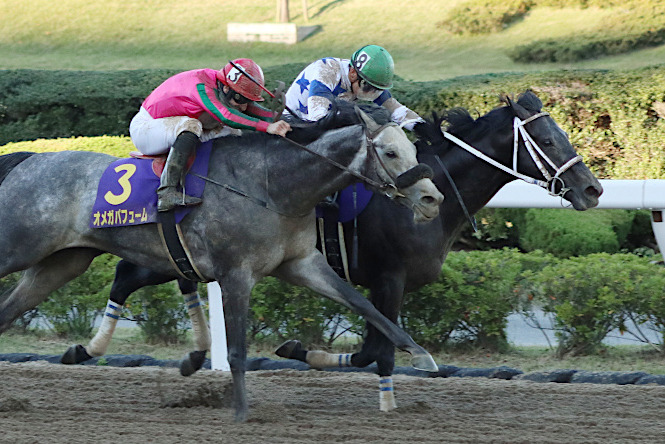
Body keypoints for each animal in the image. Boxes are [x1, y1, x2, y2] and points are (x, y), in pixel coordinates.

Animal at [1, 106, 446, 422]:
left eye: (414, 149)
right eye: (390, 151)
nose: (432, 199)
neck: (273, 185)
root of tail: (26, 160)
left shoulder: (302, 263)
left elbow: (366, 306)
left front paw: (421, 355)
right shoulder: (236, 274)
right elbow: (236, 350)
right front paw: (241, 412)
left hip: (61, 263)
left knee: (8, 311)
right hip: (17, 248)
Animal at [61, 91, 600, 412]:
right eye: (547, 138)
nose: (593, 190)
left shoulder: (381, 283)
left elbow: (377, 344)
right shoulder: (388, 278)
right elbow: (375, 351)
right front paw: (307, 354)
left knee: (155, 274)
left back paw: (186, 355)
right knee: (127, 276)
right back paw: (87, 349)